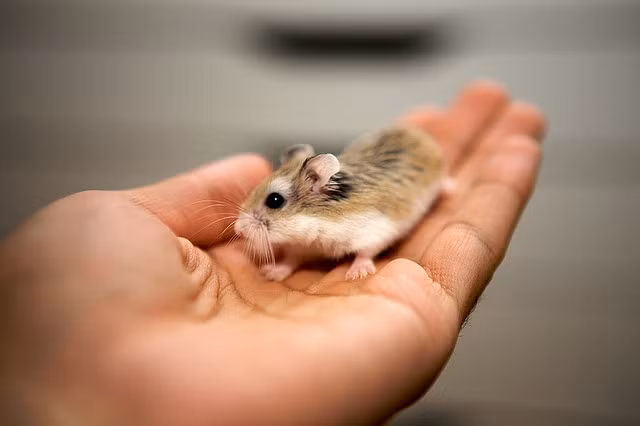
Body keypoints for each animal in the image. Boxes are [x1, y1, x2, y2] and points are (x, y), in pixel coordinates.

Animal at [234, 125, 452, 281]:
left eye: (275, 200)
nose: (238, 230)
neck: (318, 221)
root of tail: (418, 134)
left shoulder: (374, 231)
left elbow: (365, 253)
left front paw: (357, 274)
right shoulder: (301, 246)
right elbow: (291, 259)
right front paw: (271, 273)